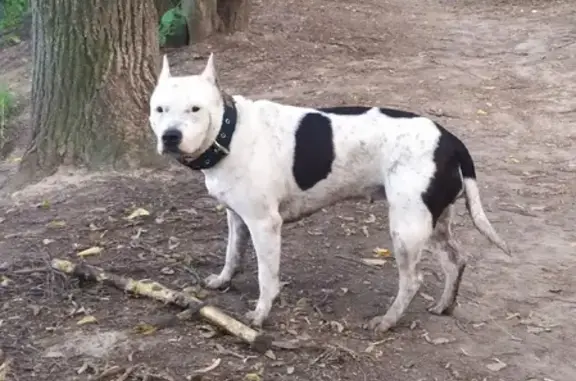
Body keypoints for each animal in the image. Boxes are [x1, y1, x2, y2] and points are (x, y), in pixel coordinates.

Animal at [147, 53, 508, 332]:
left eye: (195, 109)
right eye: (159, 109)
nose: (170, 137)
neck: (229, 132)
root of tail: (450, 140)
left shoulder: (265, 225)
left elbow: (267, 277)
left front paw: (261, 313)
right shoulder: (237, 217)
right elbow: (231, 253)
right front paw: (223, 280)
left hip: (407, 228)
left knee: (412, 281)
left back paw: (388, 321)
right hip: (434, 222)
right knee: (455, 260)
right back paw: (445, 305)